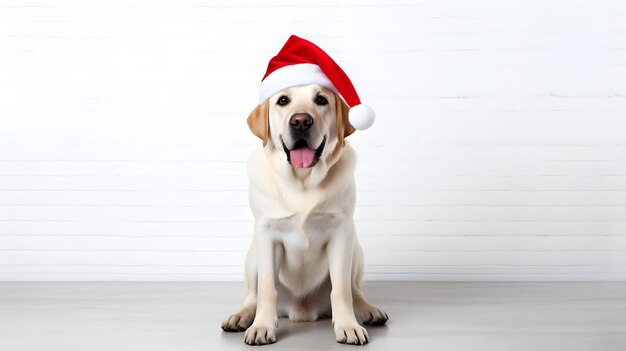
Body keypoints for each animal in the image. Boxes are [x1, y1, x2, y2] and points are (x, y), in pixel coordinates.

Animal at [219, 83, 386, 346]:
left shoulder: (341, 232)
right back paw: (241, 316)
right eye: (283, 100)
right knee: (253, 296)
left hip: (355, 251)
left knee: (355, 290)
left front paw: (348, 326)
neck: (302, 181)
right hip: (253, 255)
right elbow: (266, 289)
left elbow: (341, 290)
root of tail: (302, 309)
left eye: (321, 100)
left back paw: (367, 310)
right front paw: (262, 326)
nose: (300, 122)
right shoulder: (266, 234)